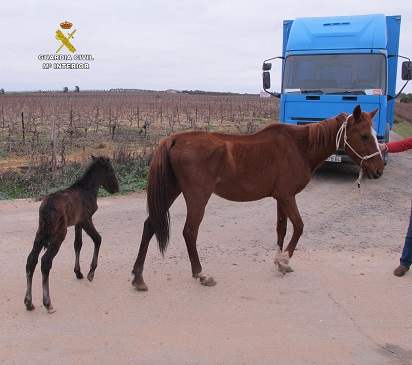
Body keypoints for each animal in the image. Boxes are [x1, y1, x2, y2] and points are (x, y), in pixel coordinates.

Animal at [24, 155, 118, 312]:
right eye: (111, 170)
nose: (116, 188)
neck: (87, 190)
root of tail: (47, 209)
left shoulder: (77, 223)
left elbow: (78, 244)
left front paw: (78, 272)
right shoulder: (86, 220)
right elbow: (97, 239)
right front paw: (91, 272)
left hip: (40, 233)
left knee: (31, 260)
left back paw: (29, 302)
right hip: (59, 233)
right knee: (45, 261)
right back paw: (48, 303)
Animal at [131, 104, 384, 288]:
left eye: (373, 135)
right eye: (364, 136)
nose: (378, 170)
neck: (300, 147)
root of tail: (174, 139)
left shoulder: (281, 198)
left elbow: (282, 228)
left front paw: (279, 262)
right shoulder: (288, 196)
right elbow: (299, 226)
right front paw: (284, 260)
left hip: (171, 190)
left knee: (150, 225)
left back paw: (138, 276)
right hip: (197, 197)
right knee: (189, 232)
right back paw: (201, 274)